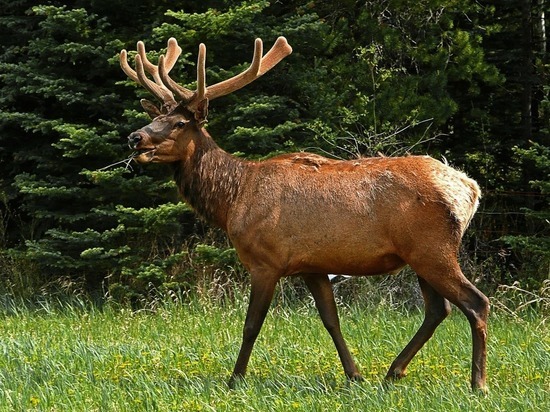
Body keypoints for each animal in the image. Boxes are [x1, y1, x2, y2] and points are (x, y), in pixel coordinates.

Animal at [119, 36, 492, 392]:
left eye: (179, 122)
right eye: (154, 117)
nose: (134, 137)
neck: (232, 200)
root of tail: (470, 190)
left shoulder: (266, 261)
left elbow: (251, 324)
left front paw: (234, 380)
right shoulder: (312, 265)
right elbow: (330, 319)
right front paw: (355, 376)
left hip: (432, 248)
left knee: (475, 302)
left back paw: (478, 383)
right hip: (419, 254)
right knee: (438, 309)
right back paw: (393, 372)